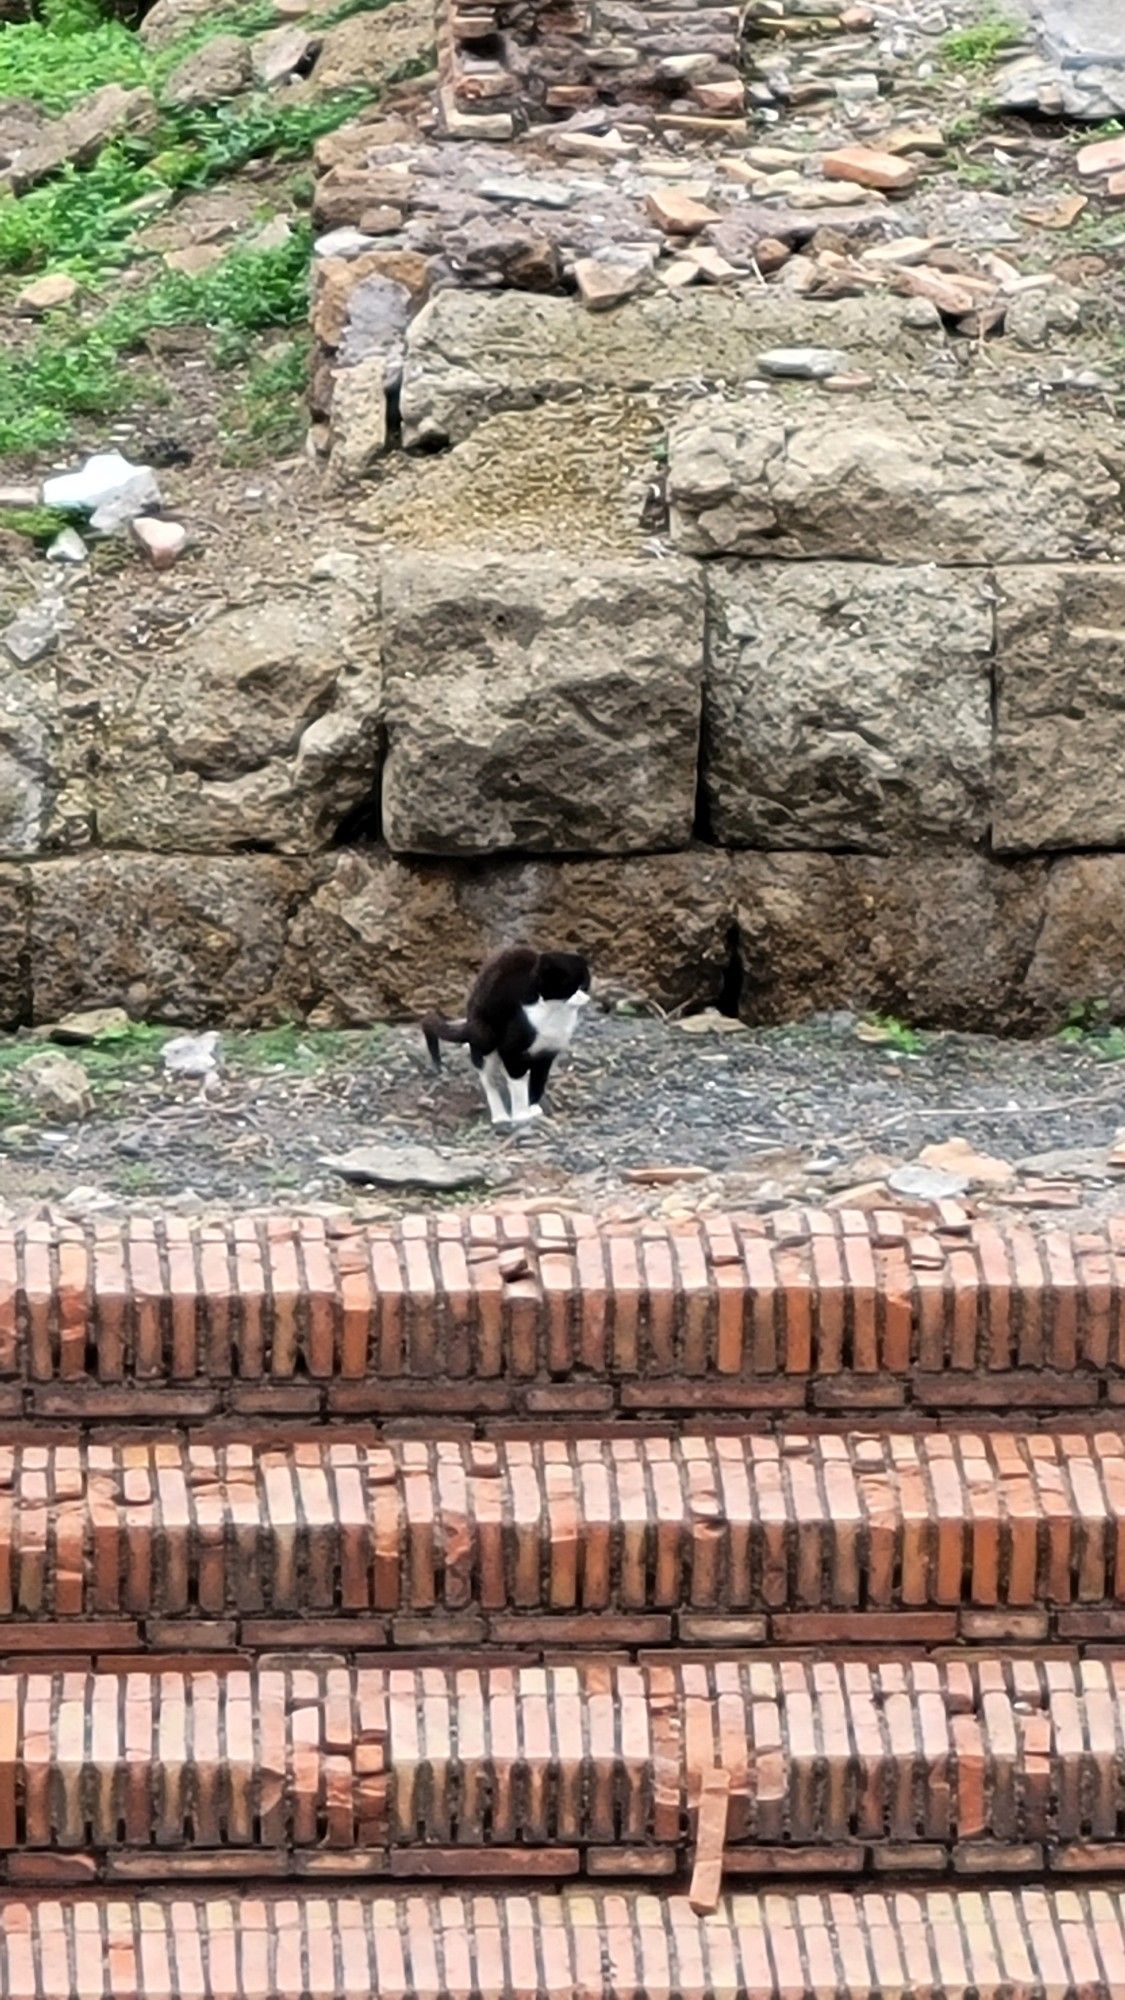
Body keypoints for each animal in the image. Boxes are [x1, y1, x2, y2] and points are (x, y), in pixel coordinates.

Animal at [422, 948, 592, 1128]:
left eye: (585, 983)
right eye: (570, 986)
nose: (584, 995)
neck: (555, 1017)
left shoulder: (547, 1054)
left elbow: (538, 1081)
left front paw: (533, 1108)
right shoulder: (511, 1050)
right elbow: (517, 1082)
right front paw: (521, 1115)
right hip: (486, 1037)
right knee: (487, 1077)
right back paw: (500, 1116)